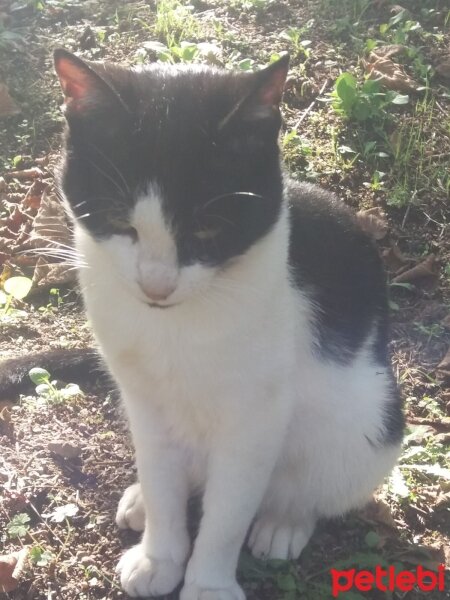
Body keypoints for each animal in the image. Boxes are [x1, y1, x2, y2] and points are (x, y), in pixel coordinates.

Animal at [53, 48, 404, 600]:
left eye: (207, 231)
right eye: (119, 222)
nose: (156, 286)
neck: (176, 327)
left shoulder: (253, 421)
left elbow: (227, 514)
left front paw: (209, 583)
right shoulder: (144, 397)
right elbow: (162, 476)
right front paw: (158, 556)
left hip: (367, 422)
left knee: (312, 483)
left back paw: (285, 519)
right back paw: (141, 498)